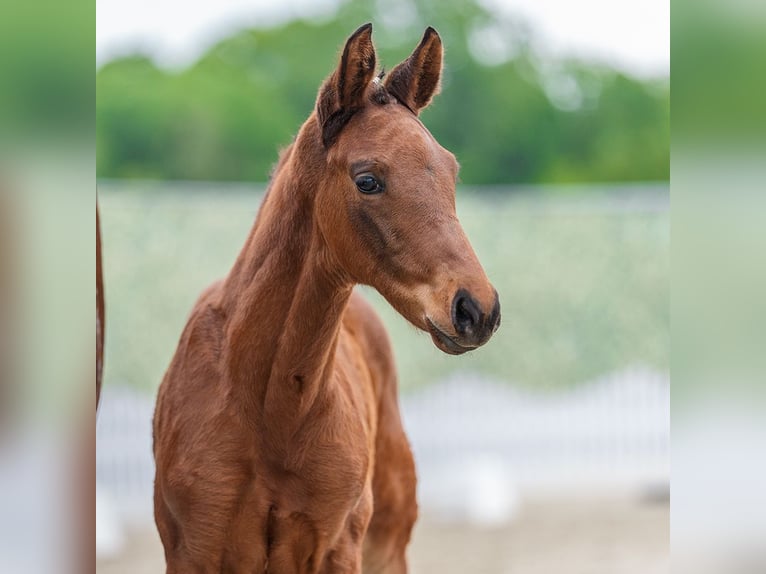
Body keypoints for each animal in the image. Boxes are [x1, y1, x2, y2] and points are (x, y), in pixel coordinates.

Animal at [152, 23, 500, 573]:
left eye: (451, 172)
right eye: (367, 180)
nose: (477, 309)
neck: (269, 411)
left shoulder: (338, 547)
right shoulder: (193, 551)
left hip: (388, 545)